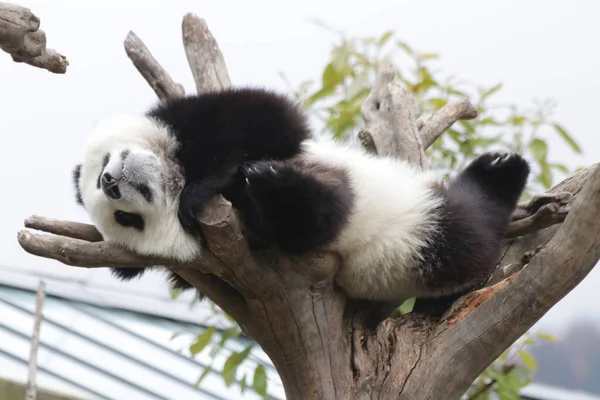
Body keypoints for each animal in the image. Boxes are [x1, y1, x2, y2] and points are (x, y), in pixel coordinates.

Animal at [71, 87, 528, 306]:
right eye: (128, 219)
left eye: (101, 171)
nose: (111, 183)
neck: (176, 175)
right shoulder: (254, 246)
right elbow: (302, 226)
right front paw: (253, 182)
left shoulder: (200, 123)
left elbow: (263, 116)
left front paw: (215, 181)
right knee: (465, 236)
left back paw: (500, 169)